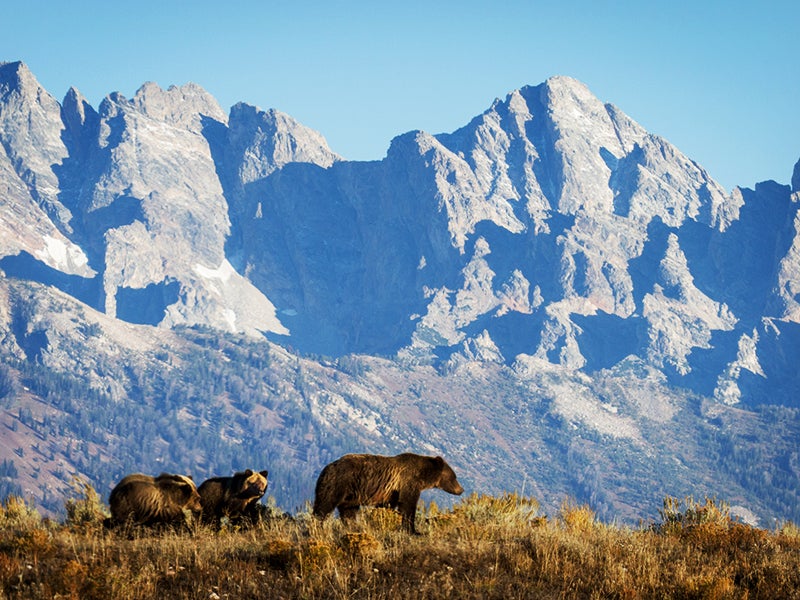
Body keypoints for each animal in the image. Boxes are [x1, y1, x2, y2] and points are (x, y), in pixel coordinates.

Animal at [310, 452, 462, 532]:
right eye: (454, 477)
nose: (461, 490)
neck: (422, 475)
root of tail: (326, 468)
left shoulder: (391, 492)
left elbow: (386, 507)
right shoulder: (408, 482)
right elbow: (408, 505)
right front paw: (413, 530)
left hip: (351, 495)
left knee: (349, 512)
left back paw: (354, 527)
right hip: (338, 484)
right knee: (324, 505)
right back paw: (317, 526)